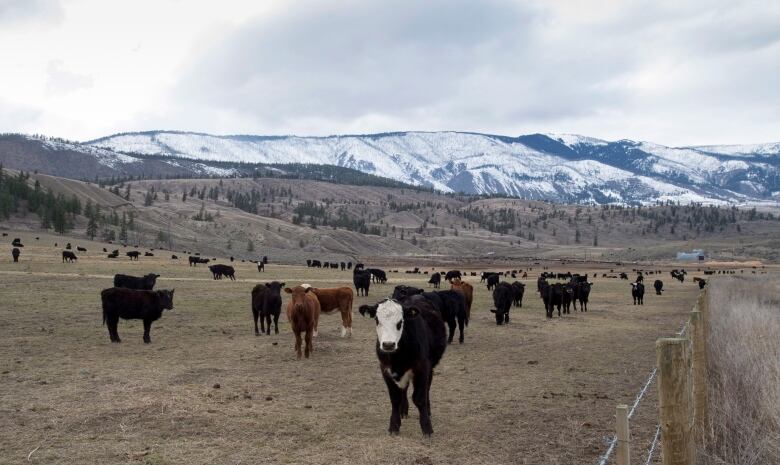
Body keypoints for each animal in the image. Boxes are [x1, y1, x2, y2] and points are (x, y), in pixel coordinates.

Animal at [358, 298, 444, 436]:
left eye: (400, 322)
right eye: (377, 320)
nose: (388, 344)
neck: (397, 358)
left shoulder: (422, 368)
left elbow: (420, 398)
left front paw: (427, 427)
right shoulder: (385, 370)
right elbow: (395, 398)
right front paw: (394, 425)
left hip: (430, 367)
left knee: (427, 388)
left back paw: (428, 410)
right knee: (404, 389)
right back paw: (403, 411)